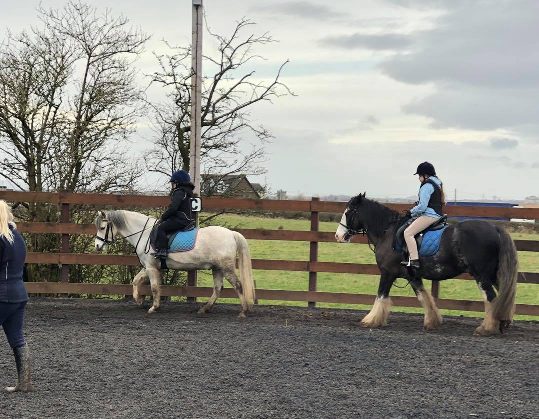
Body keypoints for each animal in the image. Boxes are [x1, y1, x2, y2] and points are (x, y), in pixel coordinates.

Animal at [334, 193, 520, 334]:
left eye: (348, 212)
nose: (338, 236)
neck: (387, 232)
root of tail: (495, 228)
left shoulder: (387, 273)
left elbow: (381, 296)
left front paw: (370, 320)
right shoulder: (412, 276)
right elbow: (424, 297)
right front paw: (432, 321)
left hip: (482, 276)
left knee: (491, 298)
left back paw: (487, 328)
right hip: (493, 274)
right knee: (503, 296)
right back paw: (502, 322)